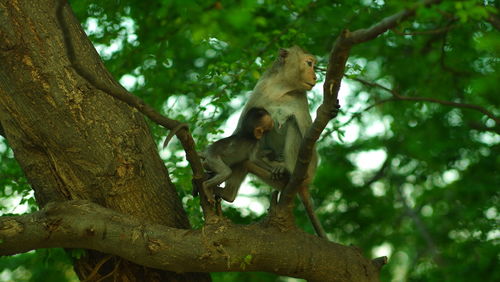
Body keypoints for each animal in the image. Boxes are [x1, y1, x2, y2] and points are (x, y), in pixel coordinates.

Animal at [223, 46, 340, 238]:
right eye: (309, 63)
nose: (315, 76)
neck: (281, 89)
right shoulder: (260, 90)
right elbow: (243, 130)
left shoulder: (300, 100)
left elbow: (309, 139)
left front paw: (328, 111)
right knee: (250, 153)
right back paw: (230, 194)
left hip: (304, 171)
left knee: (292, 125)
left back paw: (287, 170)